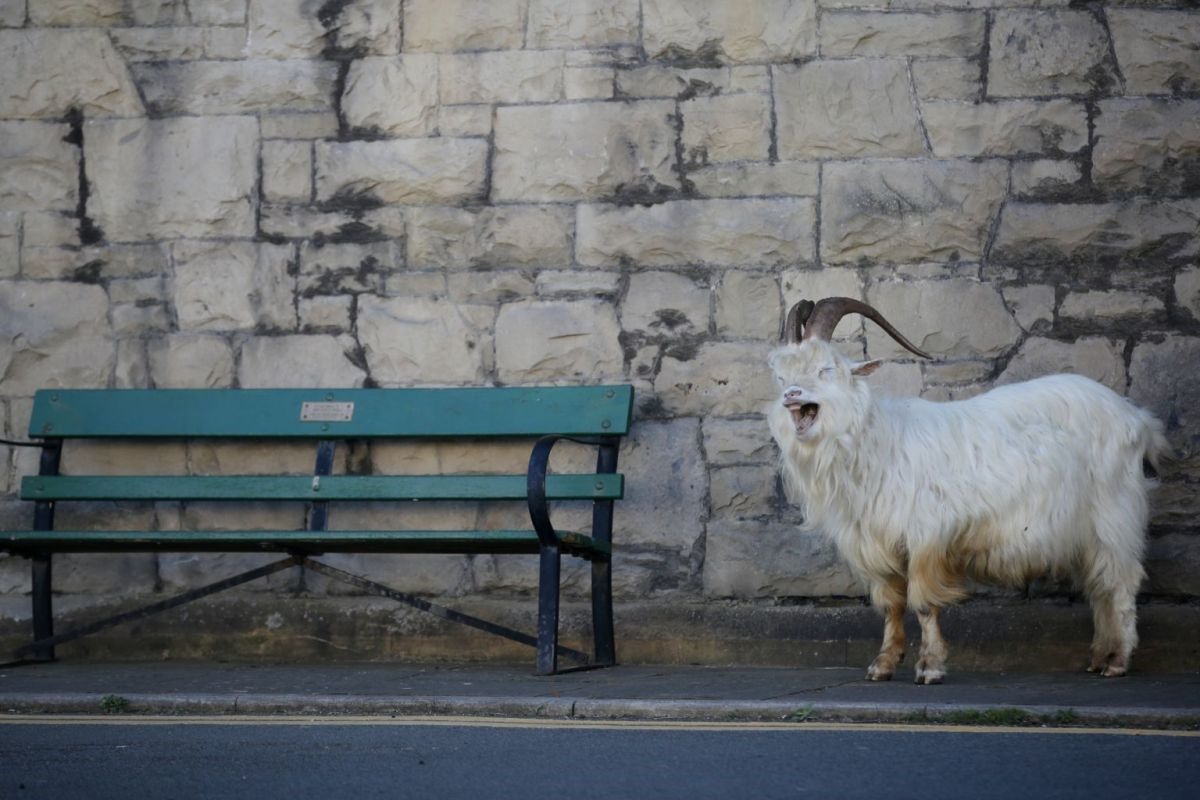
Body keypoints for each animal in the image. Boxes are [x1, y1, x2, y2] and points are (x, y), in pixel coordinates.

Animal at [763, 297, 1166, 686]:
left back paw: (1117, 661)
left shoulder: (925, 537)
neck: (876, 442)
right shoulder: (877, 547)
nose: (791, 395)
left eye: (826, 369)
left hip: (1115, 514)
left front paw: (930, 668)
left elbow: (923, 604)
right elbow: (892, 605)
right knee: (1100, 587)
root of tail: (1136, 419)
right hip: (1085, 531)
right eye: (780, 375)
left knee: (1120, 583)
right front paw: (883, 665)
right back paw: (1099, 657)